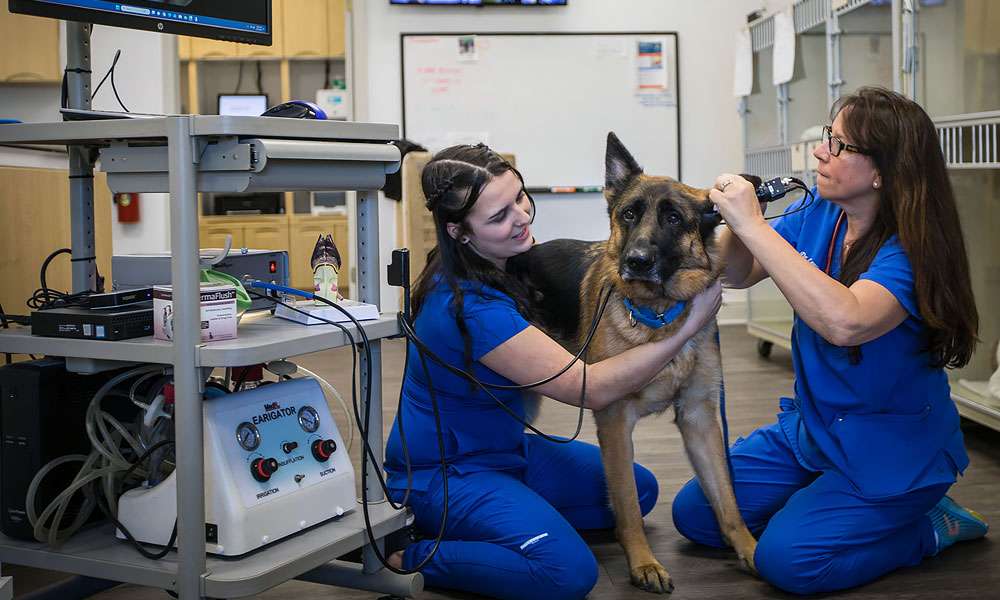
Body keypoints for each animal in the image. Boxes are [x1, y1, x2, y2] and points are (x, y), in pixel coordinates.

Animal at [512, 131, 752, 592]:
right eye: (628, 214)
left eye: (674, 218)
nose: (636, 261)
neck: (658, 315)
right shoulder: (614, 420)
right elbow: (626, 502)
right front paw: (643, 562)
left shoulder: (699, 418)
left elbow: (727, 496)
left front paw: (750, 548)